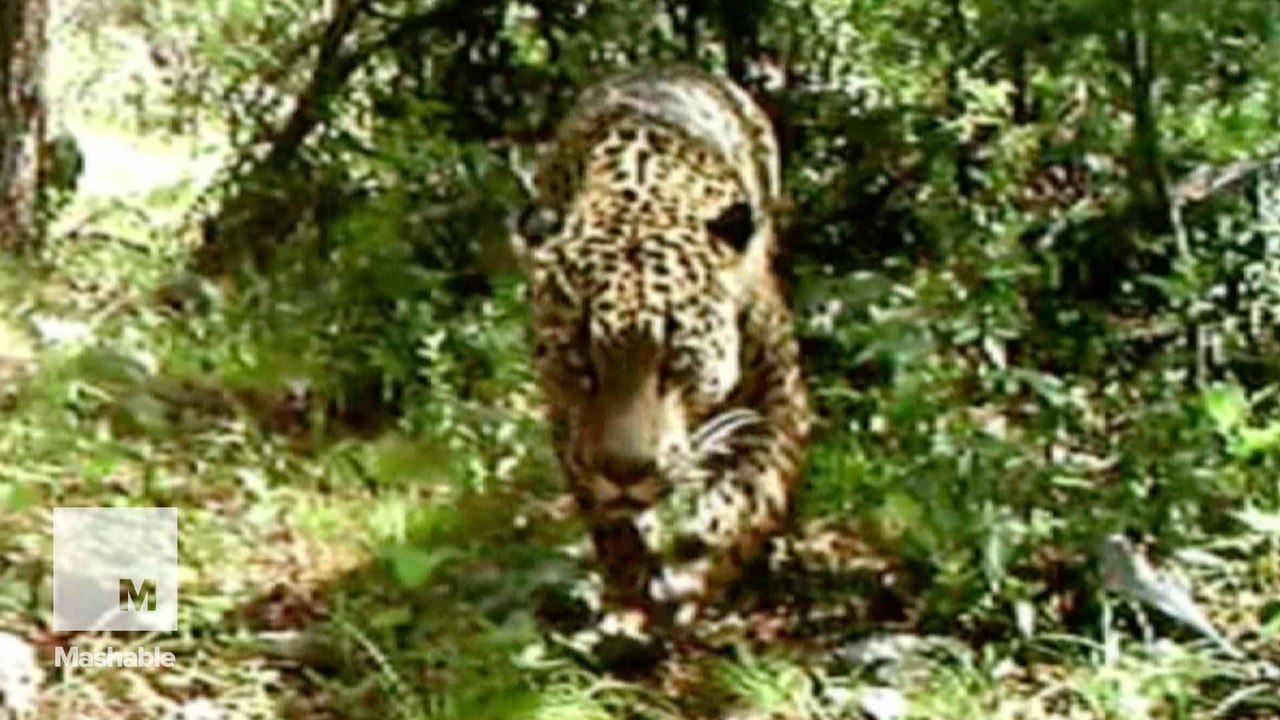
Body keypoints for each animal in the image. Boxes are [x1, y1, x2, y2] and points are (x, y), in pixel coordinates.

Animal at [510, 66, 810, 653]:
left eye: (676, 362)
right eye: (579, 362)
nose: (626, 472)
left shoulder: (780, 396)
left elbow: (750, 492)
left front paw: (699, 557)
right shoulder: (567, 424)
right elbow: (611, 522)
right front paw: (628, 604)